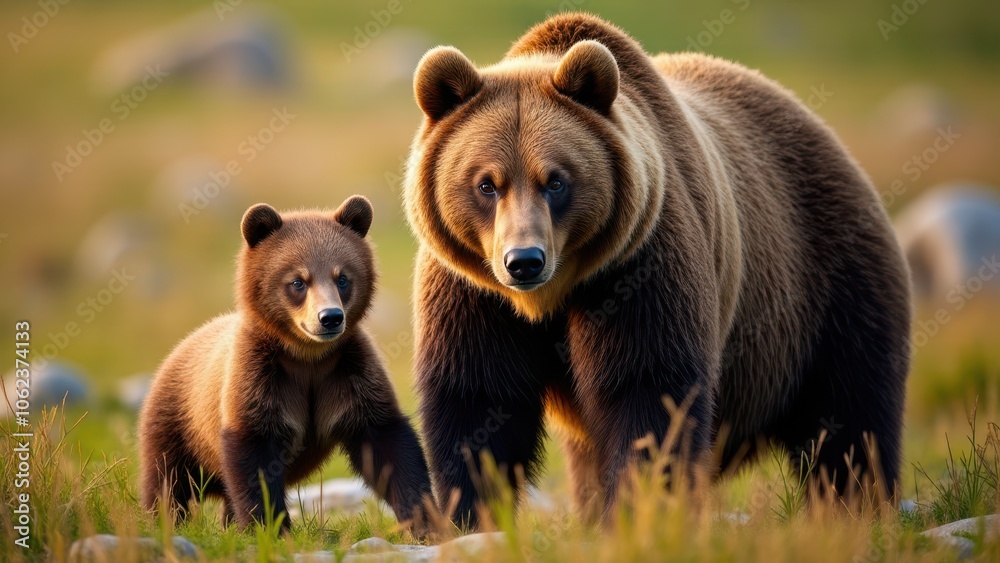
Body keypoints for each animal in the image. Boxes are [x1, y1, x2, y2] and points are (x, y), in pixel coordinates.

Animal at [139, 196, 433, 532]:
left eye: (342, 277)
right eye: (298, 281)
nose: (330, 317)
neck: (307, 357)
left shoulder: (348, 374)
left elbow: (388, 446)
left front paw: (427, 519)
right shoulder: (260, 378)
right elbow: (255, 460)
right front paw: (268, 526)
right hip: (178, 422)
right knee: (167, 479)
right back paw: (166, 520)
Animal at [403, 13, 911, 528]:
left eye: (556, 181)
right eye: (487, 184)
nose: (524, 261)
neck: (552, 297)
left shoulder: (637, 268)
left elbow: (647, 390)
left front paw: (639, 508)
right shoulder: (473, 292)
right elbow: (479, 400)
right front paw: (470, 513)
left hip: (826, 285)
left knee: (850, 411)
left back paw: (855, 505)